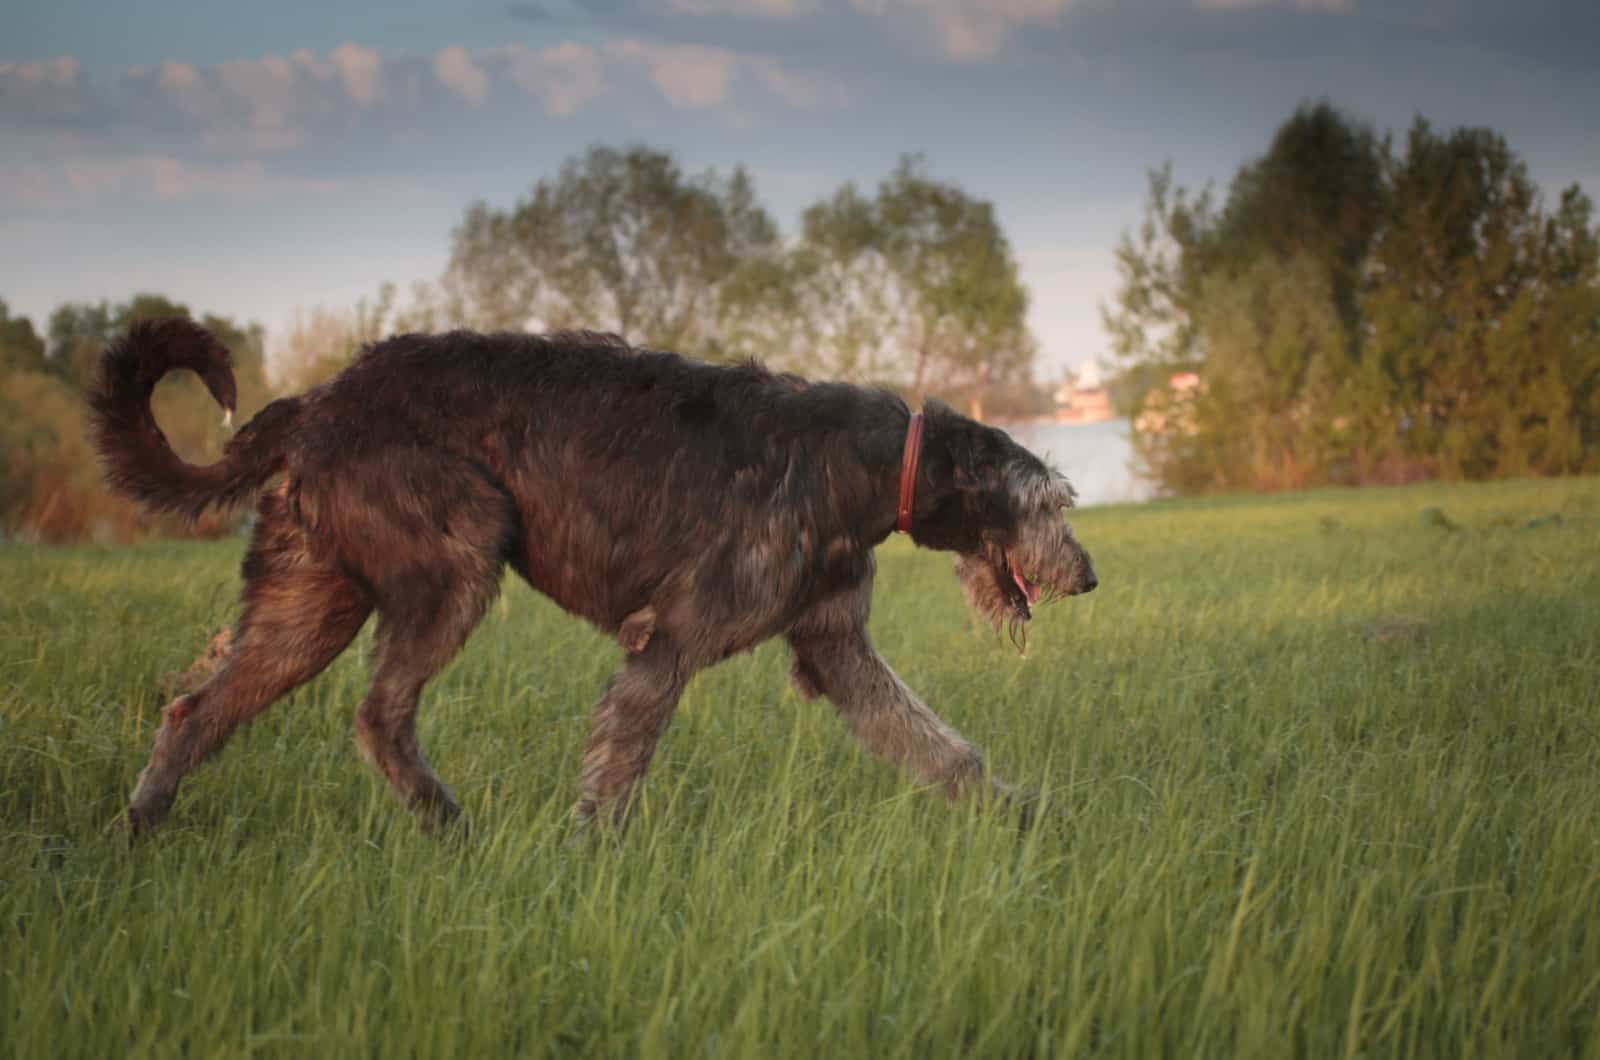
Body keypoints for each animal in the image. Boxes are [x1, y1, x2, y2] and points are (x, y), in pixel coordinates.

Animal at [90, 320, 1100, 845]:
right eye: (1050, 503)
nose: (1090, 576)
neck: (869, 462)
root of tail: (316, 401)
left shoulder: (836, 646)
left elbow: (940, 747)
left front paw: (1019, 813)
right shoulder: (670, 643)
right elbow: (621, 759)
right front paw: (591, 860)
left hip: (311, 598)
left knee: (198, 707)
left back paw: (143, 825)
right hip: (456, 550)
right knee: (379, 714)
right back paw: (449, 823)